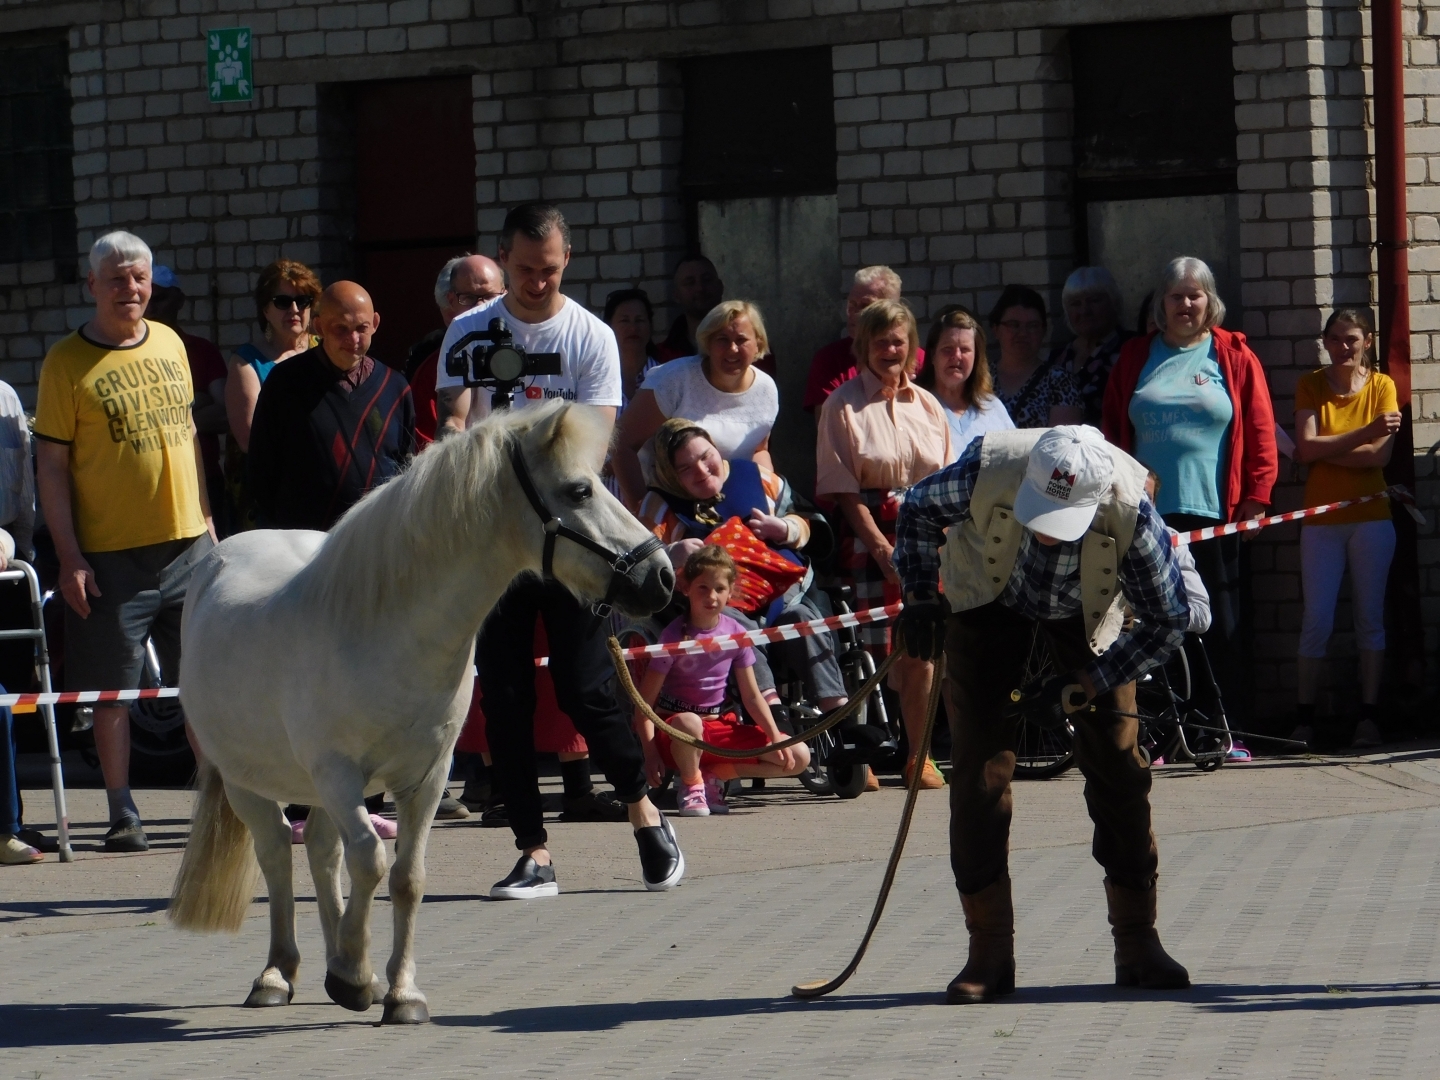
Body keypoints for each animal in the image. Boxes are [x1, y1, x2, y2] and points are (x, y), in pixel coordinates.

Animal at [165, 403, 671, 1025]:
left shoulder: (427, 778)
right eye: (579, 490)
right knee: (279, 853)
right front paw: (356, 978)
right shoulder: (338, 773)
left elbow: (406, 877)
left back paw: (334, 959)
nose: (662, 577)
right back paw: (278, 975)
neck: (384, 631)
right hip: (250, 784)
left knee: (321, 850)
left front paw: (396, 992)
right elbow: (371, 861)